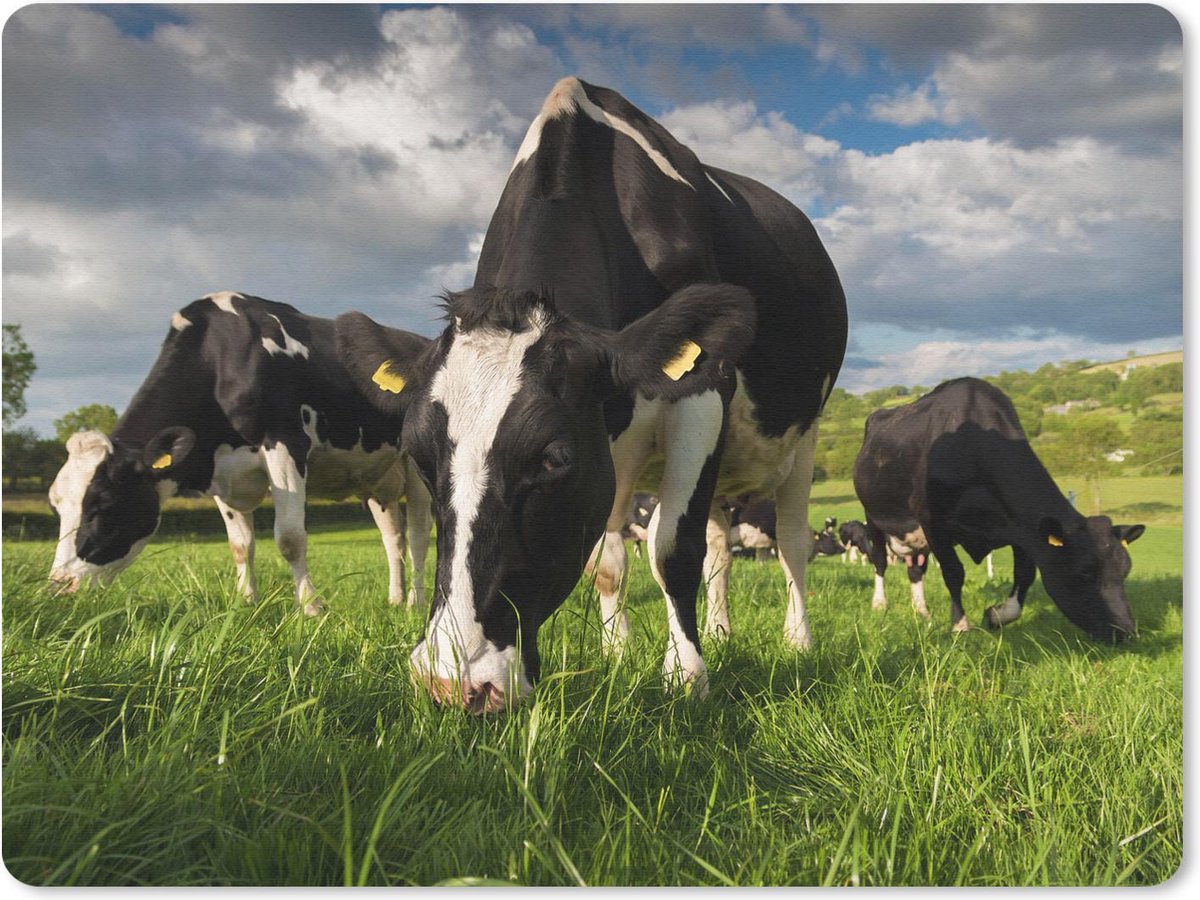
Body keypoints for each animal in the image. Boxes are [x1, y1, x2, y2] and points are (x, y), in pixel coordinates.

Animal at [48, 291, 433, 614]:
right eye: (56, 506)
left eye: (105, 504)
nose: (59, 586)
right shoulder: (221, 473)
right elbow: (240, 545)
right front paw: (245, 602)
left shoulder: (286, 444)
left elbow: (290, 538)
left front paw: (311, 608)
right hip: (376, 479)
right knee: (393, 538)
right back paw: (395, 598)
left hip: (416, 468)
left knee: (418, 535)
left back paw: (415, 603)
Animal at [337, 77, 847, 712]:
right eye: (420, 457)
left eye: (552, 458)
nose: (454, 684)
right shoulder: (609, 447)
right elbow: (609, 563)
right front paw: (618, 653)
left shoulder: (703, 393)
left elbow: (672, 548)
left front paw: (687, 677)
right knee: (719, 548)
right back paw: (722, 631)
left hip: (804, 437)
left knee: (793, 543)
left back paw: (797, 641)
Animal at [852, 377, 1144, 641]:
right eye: (1083, 573)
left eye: (1125, 571)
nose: (1125, 632)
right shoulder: (933, 522)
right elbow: (954, 573)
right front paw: (960, 626)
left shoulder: (1024, 530)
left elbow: (1025, 575)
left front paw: (996, 616)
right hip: (874, 517)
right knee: (880, 560)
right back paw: (880, 603)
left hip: (917, 538)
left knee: (915, 570)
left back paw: (921, 611)